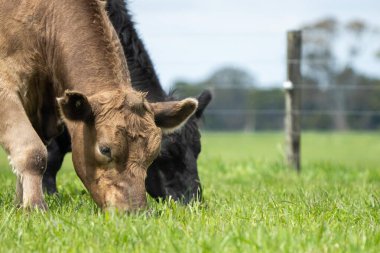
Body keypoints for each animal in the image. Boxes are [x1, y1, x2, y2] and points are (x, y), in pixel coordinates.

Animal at [0, 0, 196, 211]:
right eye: (105, 149)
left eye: (154, 154)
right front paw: (36, 207)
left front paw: (20, 205)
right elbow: (34, 153)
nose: (135, 211)